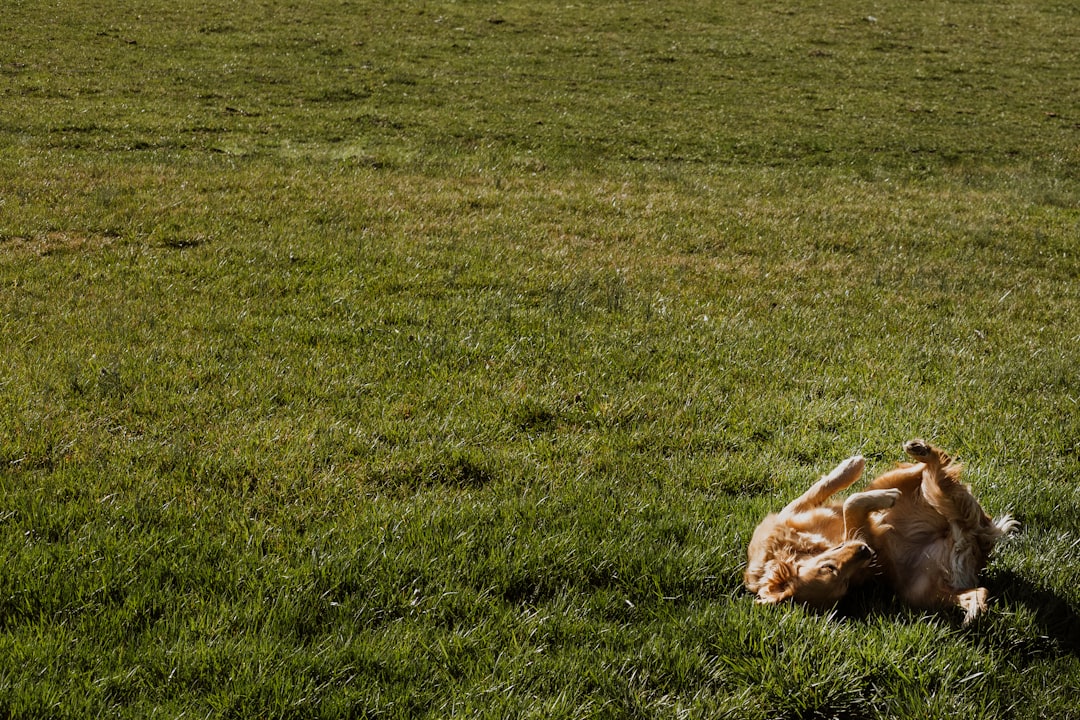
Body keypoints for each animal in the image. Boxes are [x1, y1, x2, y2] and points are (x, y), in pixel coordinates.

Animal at [747, 440, 1015, 626]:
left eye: (828, 567)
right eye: (843, 582)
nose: (866, 552)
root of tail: (971, 537)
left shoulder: (792, 512)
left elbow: (823, 488)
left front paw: (851, 466)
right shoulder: (863, 537)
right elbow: (851, 504)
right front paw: (883, 499)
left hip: (890, 479)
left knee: (931, 464)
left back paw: (919, 451)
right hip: (920, 593)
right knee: (979, 592)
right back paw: (973, 616)